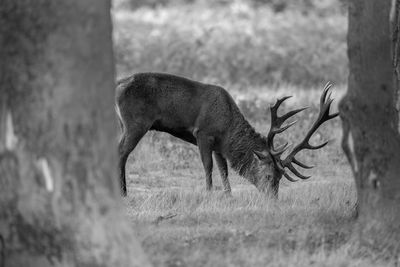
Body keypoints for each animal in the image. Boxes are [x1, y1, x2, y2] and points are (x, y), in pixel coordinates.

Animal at [115, 72, 338, 198]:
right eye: (268, 176)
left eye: (280, 177)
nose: (273, 199)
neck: (227, 129)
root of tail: (117, 86)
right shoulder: (203, 133)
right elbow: (208, 166)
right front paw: (209, 193)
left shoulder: (218, 145)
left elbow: (224, 170)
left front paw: (228, 196)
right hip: (136, 122)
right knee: (121, 153)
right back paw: (123, 192)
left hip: (125, 124)